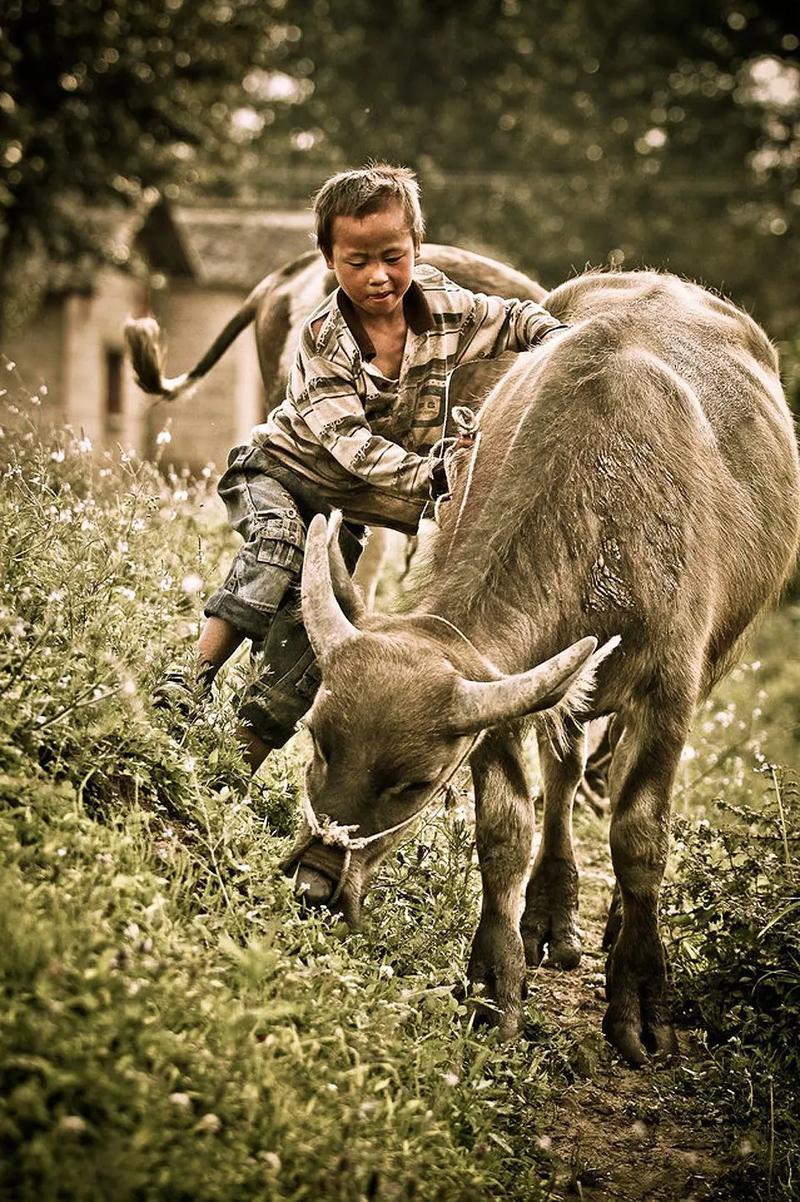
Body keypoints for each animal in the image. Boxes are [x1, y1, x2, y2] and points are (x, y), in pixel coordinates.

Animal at [287, 270, 797, 1062]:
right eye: (316, 739)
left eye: (416, 783)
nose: (314, 888)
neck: (608, 502)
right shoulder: (501, 699)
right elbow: (504, 831)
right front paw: (494, 983)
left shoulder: (671, 690)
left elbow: (640, 835)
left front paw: (640, 1000)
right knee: (564, 768)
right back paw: (551, 913)